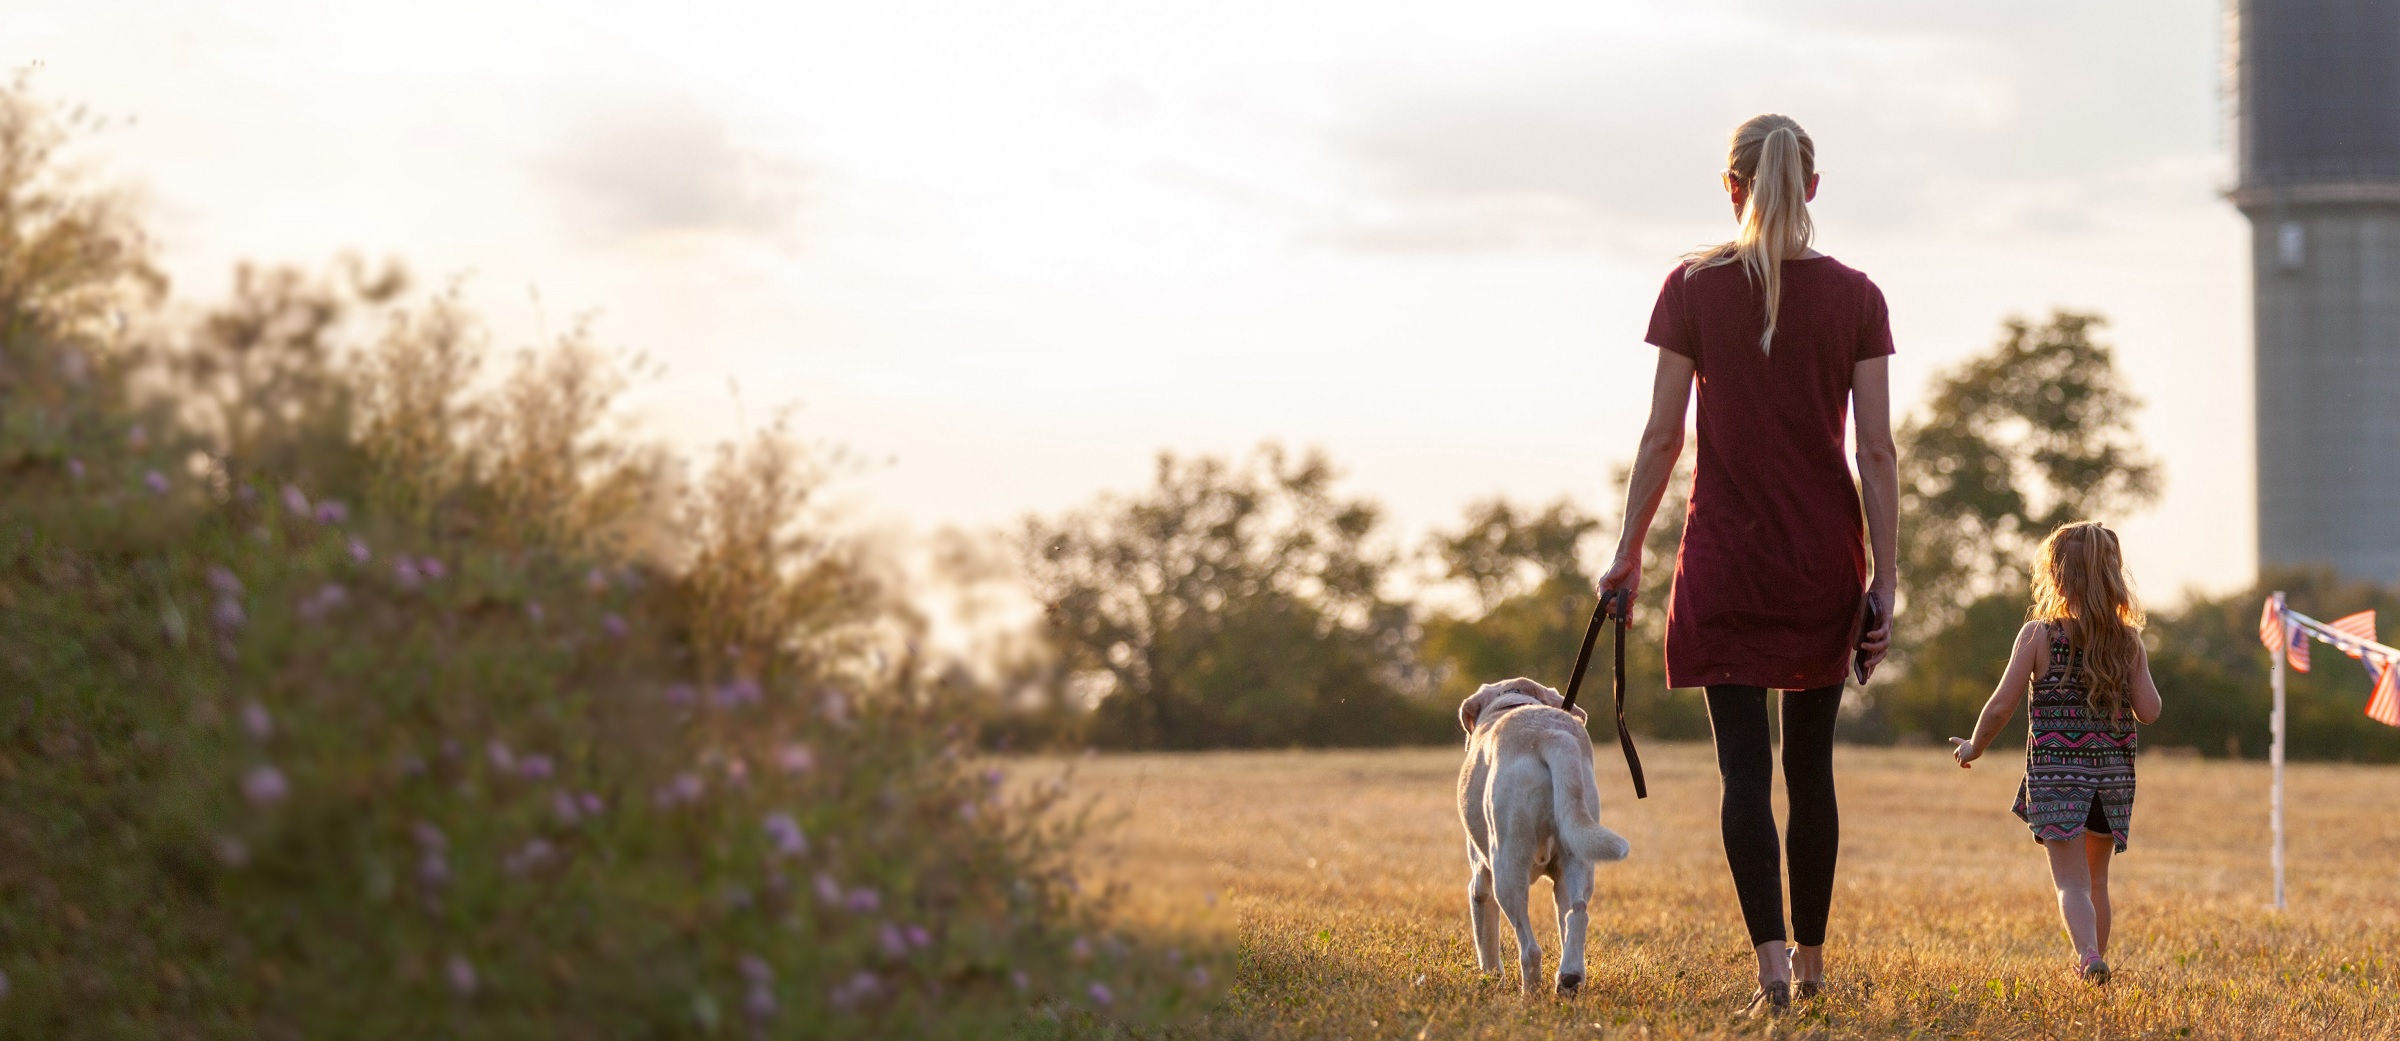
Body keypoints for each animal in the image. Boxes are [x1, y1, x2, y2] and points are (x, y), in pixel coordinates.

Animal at [1449, 681, 1622, 997]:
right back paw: (1569, 978)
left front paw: (1491, 981)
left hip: (1507, 868)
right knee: (1577, 914)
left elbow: (1486, 944)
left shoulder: (1480, 882)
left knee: (1530, 949)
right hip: (1577, 851)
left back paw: (1528, 995)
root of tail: (1550, 735)